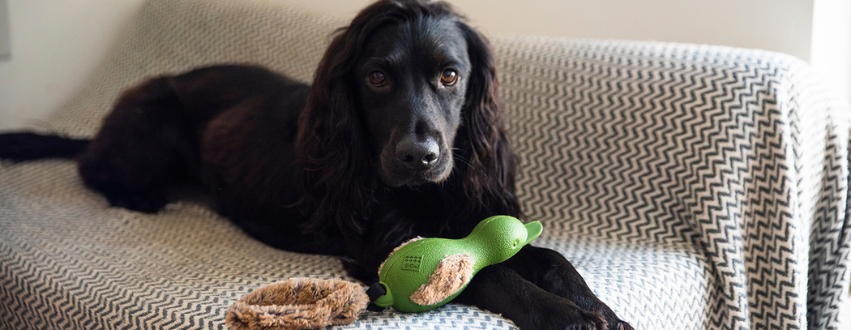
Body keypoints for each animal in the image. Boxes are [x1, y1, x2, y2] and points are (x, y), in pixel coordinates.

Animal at [0, 1, 632, 328]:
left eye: (450, 75)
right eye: (376, 77)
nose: (419, 158)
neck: (427, 192)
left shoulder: (472, 214)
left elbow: (549, 260)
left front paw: (598, 307)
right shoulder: (387, 241)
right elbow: (486, 273)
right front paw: (566, 318)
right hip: (153, 118)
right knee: (92, 169)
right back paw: (136, 194)